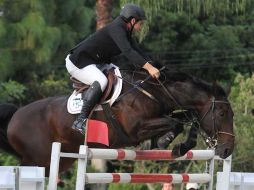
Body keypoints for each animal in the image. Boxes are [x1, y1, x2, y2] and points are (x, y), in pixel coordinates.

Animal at [0, 68, 234, 177]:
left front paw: (178, 144)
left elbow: (184, 119)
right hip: (35, 160)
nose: (227, 150)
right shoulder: (135, 130)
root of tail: (16, 115)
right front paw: (169, 144)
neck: (156, 92)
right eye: (222, 113)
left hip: (59, 160)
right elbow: (175, 124)